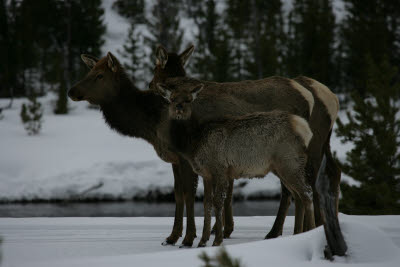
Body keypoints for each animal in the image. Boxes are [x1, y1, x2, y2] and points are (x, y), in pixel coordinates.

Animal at [158, 84, 318, 247]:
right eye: (172, 99)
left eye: (188, 100)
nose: (179, 107)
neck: (193, 144)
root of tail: (302, 127)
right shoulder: (206, 174)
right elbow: (206, 204)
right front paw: (202, 241)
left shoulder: (220, 169)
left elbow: (218, 202)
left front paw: (217, 240)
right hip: (281, 167)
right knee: (297, 195)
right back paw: (297, 233)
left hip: (289, 162)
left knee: (307, 192)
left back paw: (310, 230)